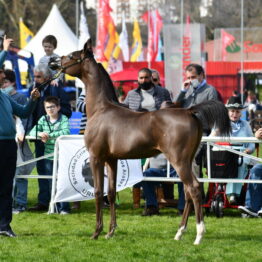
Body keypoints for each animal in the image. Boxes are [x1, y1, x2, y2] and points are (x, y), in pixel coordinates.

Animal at [54, 39, 230, 246]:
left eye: (71, 56)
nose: (54, 63)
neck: (101, 109)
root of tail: (189, 111)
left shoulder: (96, 157)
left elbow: (98, 192)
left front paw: (96, 232)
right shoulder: (112, 159)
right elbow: (111, 192)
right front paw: (110, 232)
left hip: (178, 161)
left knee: (193, 189)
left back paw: (198, 235)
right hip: (189, 161)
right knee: (188, 191)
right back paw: (179, 232)